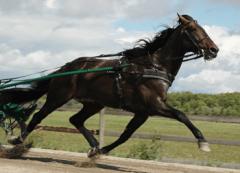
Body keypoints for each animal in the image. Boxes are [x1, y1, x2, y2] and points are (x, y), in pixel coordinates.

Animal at [0, 14, 218, 158]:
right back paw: (17, 140)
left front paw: (101, 151)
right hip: (58, 96)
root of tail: (66, 67)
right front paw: (203, 142)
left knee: (75, 119)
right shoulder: (154, 105)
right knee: (38, 116)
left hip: (94, 103)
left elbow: (126, 135)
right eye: (193, 30)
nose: (214, 49)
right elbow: (182, 115)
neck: (154, 66)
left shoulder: (143, 112)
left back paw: (95, 145)